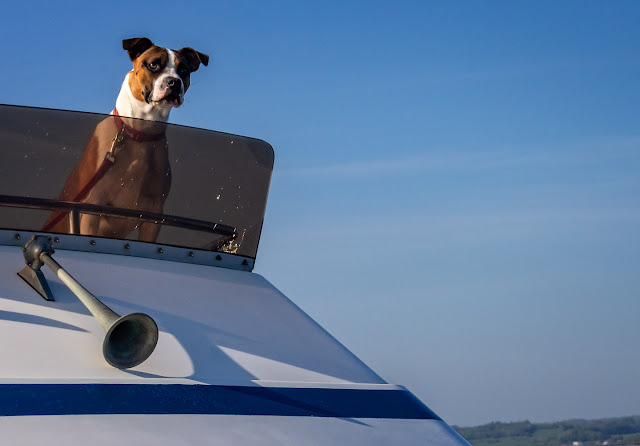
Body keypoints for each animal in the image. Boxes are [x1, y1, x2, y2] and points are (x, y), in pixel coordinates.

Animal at [43, 36, 208, 242]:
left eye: (184, 70)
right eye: (153, 64)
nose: (174, 82)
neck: (139, 134)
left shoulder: (154, 215)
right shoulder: (92, 207)